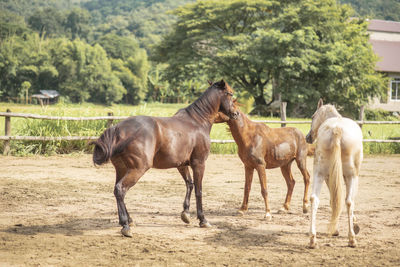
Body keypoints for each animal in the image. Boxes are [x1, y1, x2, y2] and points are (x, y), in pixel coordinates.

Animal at [92, 80, 239, 238]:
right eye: (230, 94)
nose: (236, 113)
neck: (197, 121)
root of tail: (118, 128)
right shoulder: (199, 163)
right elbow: (199, 190)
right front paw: (203, 220)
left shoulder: (182, 165)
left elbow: (190, 184)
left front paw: (186, 214)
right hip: (138, 169)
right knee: (121, 189)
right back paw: (126, 225)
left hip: (122, 169)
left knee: (117, 190)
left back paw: (129, 221)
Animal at [306, 100, 362, 249]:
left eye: (312, 116)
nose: (308, 137)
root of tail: (336, 129)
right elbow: (342, 200)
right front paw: (354, 225)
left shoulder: (329, 176)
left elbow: (334, 199)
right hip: (350, 176)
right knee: (348, 201)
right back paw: (351, 239)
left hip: (319, 173)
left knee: (314, 199)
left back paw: (313, 240)